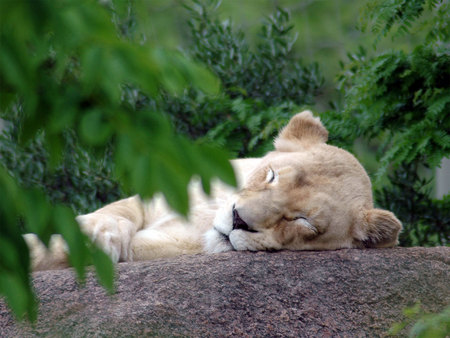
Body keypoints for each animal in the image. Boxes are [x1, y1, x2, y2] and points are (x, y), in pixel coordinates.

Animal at [26, 112, 402, 270]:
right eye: (271, 176)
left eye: (302, 222)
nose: (238, 220)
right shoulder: (154, 198)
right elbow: (117, 211)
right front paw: (100, 232)